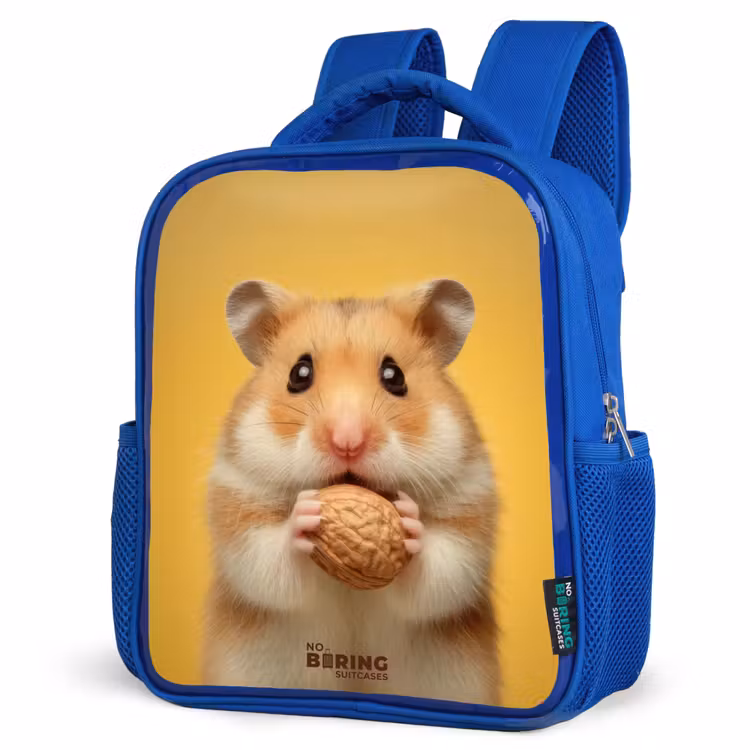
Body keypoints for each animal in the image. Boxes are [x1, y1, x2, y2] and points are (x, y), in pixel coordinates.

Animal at [203, 279, 499, 705]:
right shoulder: (238, 503)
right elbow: (267, 562)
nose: (347, 442)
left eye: (394, 375)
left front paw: (409, 522)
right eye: (299, 373)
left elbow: (440, 573)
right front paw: (305, 515)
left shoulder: (469, 507)